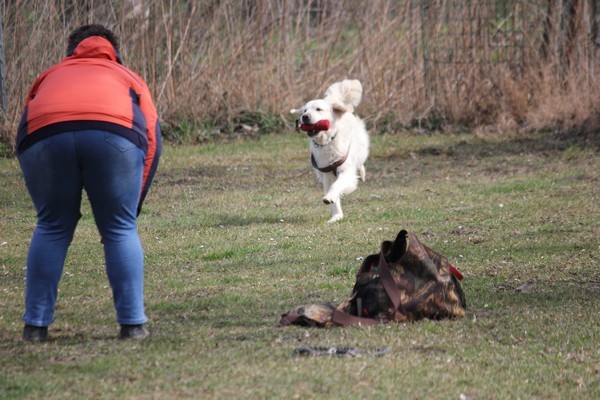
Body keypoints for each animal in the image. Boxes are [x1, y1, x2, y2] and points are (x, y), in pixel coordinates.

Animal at [291, 79, 370, 222]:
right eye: (305, 110)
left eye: (318, 109)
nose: (304, 117)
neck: (327, 141)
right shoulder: (326, 174)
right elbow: (331, 191)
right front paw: (336, 215)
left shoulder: (345, 170)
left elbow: (337, 185)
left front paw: (332, 196)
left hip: (361, 150)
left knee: (360, 163)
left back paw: (362, 173)